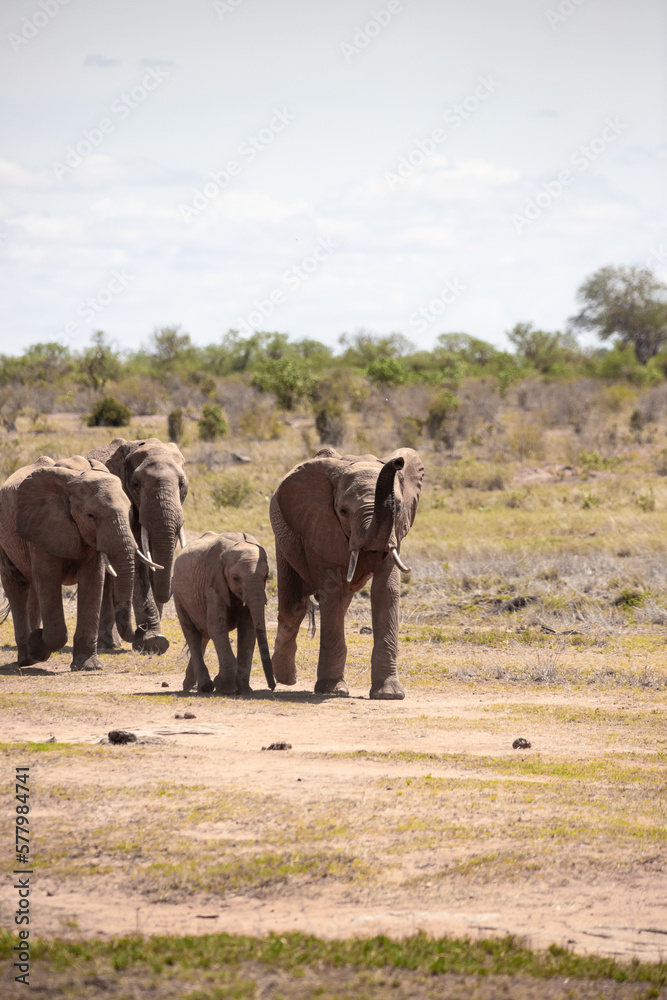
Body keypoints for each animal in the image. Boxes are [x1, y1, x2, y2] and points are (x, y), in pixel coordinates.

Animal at [0, 454, 159, 672]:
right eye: (90, 516)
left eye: (129, 511)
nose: (142, 628)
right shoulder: (43, 527)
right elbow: (48, 579)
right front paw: (38, 645)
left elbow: (93, 581)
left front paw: (89, 666)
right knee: (16, 587)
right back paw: (27, 658)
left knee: (32, 589)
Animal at [87, 434, 188, 652]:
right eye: (136, 485)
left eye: (182, 484)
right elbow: (139, 564)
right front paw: (154, 641)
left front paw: (152, 639)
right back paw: (107, 645)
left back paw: (110, 643)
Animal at [175, 532, 276, 696]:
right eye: (235, 578)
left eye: (266, 576)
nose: (272, 687)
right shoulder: (212, 584)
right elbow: (217, 625)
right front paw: (227, 688)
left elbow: (248, 629)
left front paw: (244, 689)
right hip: (178, 596)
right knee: (192, 634)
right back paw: (204, 687)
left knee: (204, 635)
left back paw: (190, 686)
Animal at [270, 450, 422, 700]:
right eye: (343, 511)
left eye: (398, 509)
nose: (398, 461)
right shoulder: (321, 527)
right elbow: (333, 592)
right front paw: (333, 690)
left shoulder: (395, 534)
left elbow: (385, 590)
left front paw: (389, 694)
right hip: (284, 542)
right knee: (294, 606)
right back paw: (286, 678)